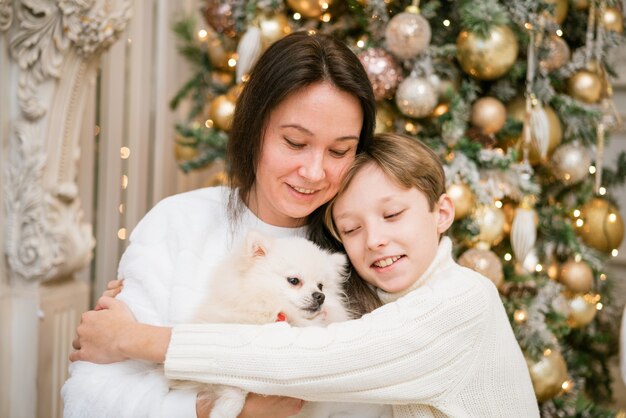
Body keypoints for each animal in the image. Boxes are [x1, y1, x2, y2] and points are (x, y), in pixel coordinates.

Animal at [168, 232, 388, 418]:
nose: (320, 296)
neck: (280, 312)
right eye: (294, 280)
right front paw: (225, 410)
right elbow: (231, 381)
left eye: (321, 286)